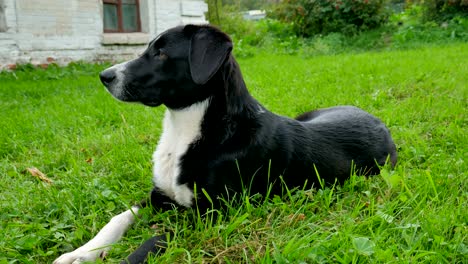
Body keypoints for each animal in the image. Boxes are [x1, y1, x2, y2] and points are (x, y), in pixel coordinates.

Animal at [53, 24, 396, 264]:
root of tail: (377, 120)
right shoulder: (159, 196)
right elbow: (118, 218)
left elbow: (156, 238)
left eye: (162, 53)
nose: (105, 76)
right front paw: (82, 251)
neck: (189, 128)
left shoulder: (210, 213)